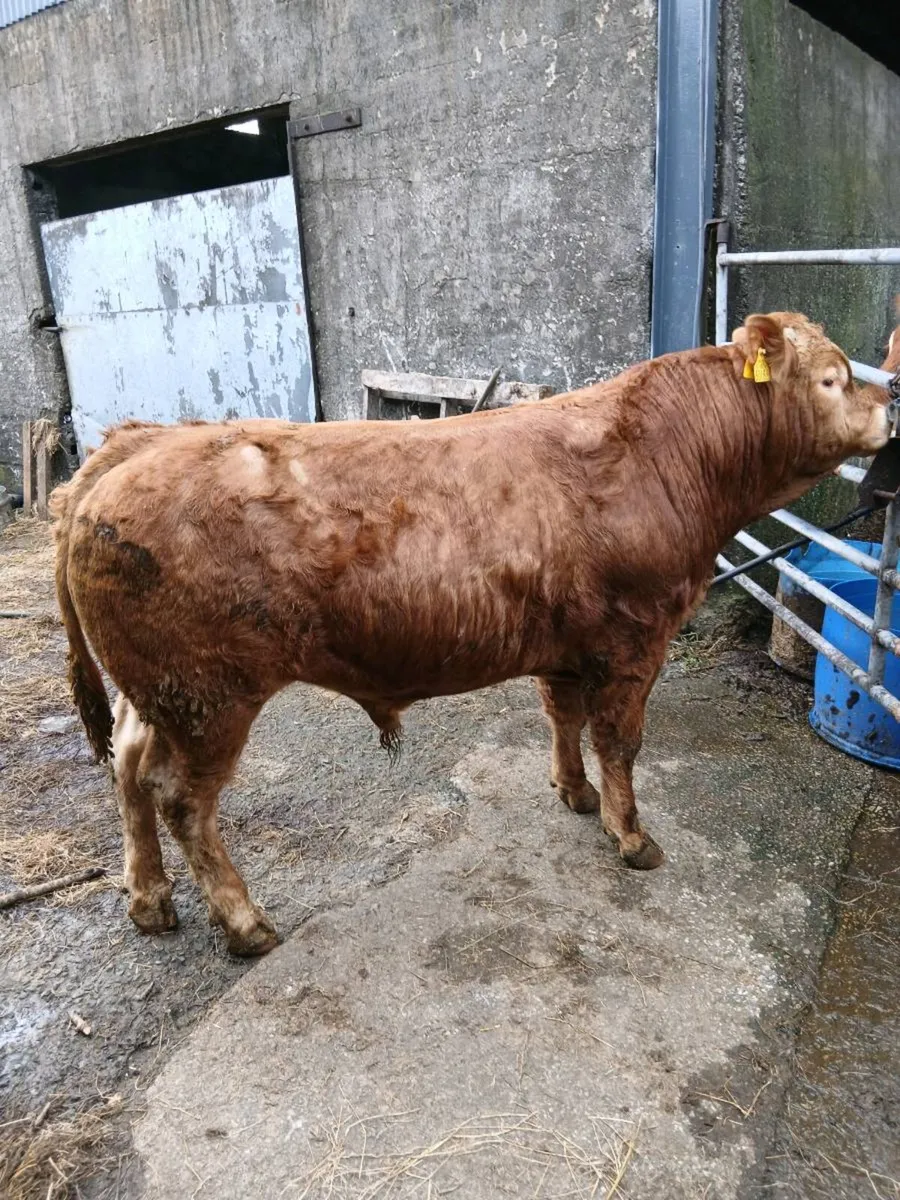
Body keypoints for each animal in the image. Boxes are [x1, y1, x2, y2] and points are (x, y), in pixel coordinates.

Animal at [51, 312, 890, 956]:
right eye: (831, 378)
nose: (890, 403)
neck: (668, 452)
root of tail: (140, 443)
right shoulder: (635, 639)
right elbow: (620, 741)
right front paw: (630, 835)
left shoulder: (569, 643)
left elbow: (564, 718)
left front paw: (574, 793)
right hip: (207, 697)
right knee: (181, 800)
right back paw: (245, 922)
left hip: (156, 692)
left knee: (128, 767)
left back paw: (149, 899)